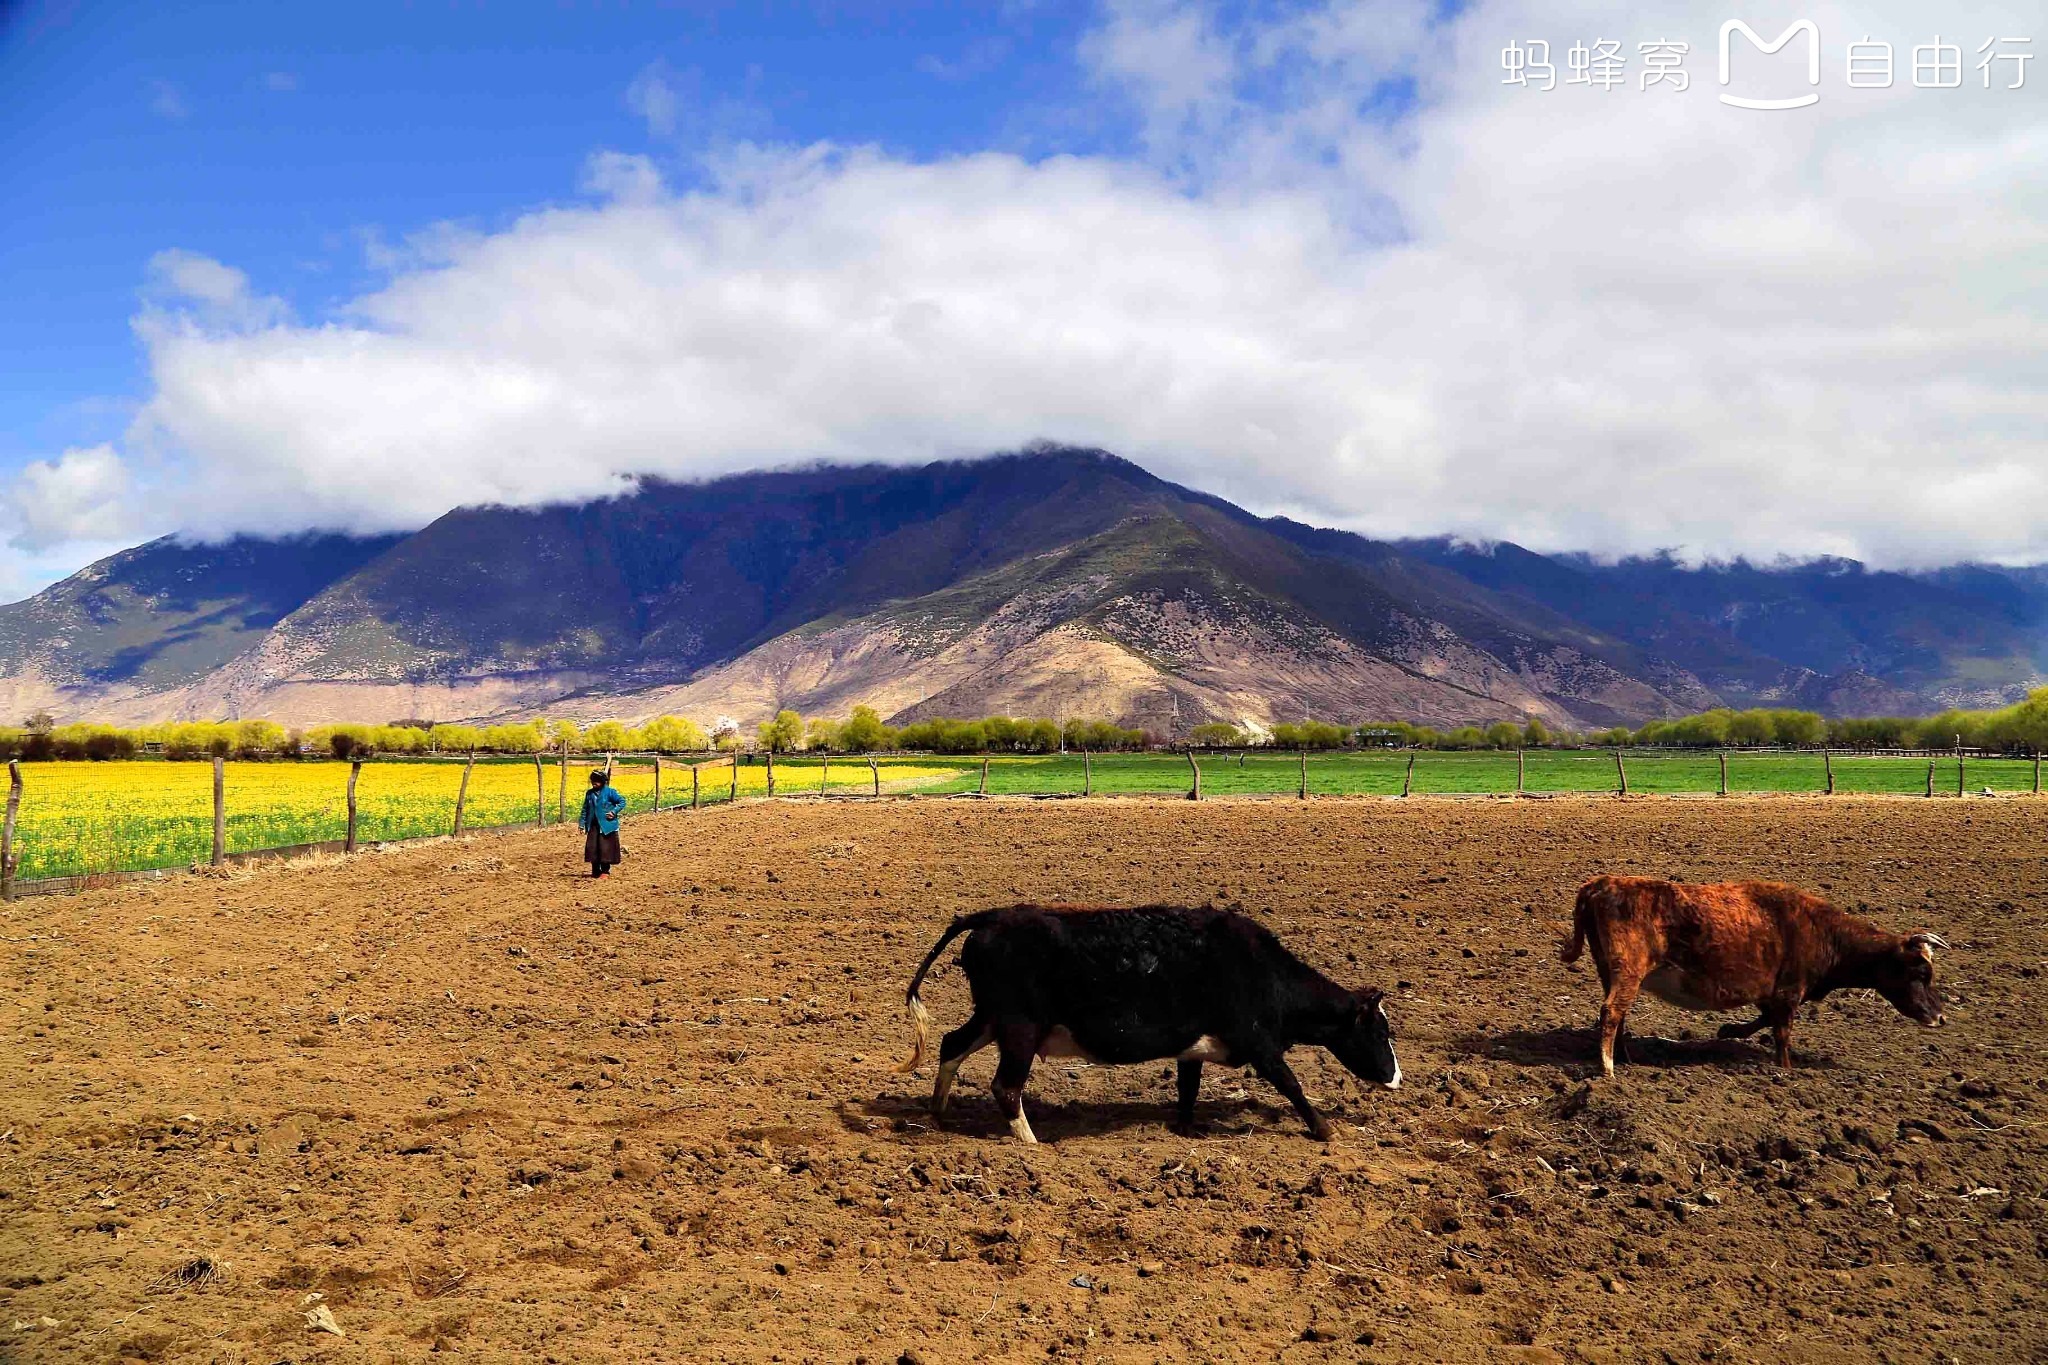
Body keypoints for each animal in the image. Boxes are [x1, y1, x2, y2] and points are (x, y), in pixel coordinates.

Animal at [901, 908, 1409, 1146]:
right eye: (1380, 1033)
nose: (1398, 1077)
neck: (1263, 972)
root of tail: (995, 917)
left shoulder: (1193, 1049)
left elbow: (1188, 1088)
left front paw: (1185, 1128)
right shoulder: (1260, 1044)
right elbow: (1292, 1085)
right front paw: (1325, 1130)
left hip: (991, 1019)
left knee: (951, 1045)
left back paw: (937, 1112)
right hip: (1020, 1030)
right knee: (1005, 1086)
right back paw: (1033, 1144)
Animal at [1556, 875, 1941, 1080]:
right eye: (1921, 972)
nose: (1940, 1016)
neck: (1822, 932)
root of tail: (1603, 883)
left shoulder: (1774, 993)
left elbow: (1764, 1018)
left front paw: (1729, 1031)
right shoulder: (1788, 992)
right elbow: (1781, 1033)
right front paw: (1785, 1069)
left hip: (1609, 969)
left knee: (1617, 1013)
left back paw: (1624, 1056)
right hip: (1628, 970)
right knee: (1611, 1012)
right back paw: (1608, 1067)